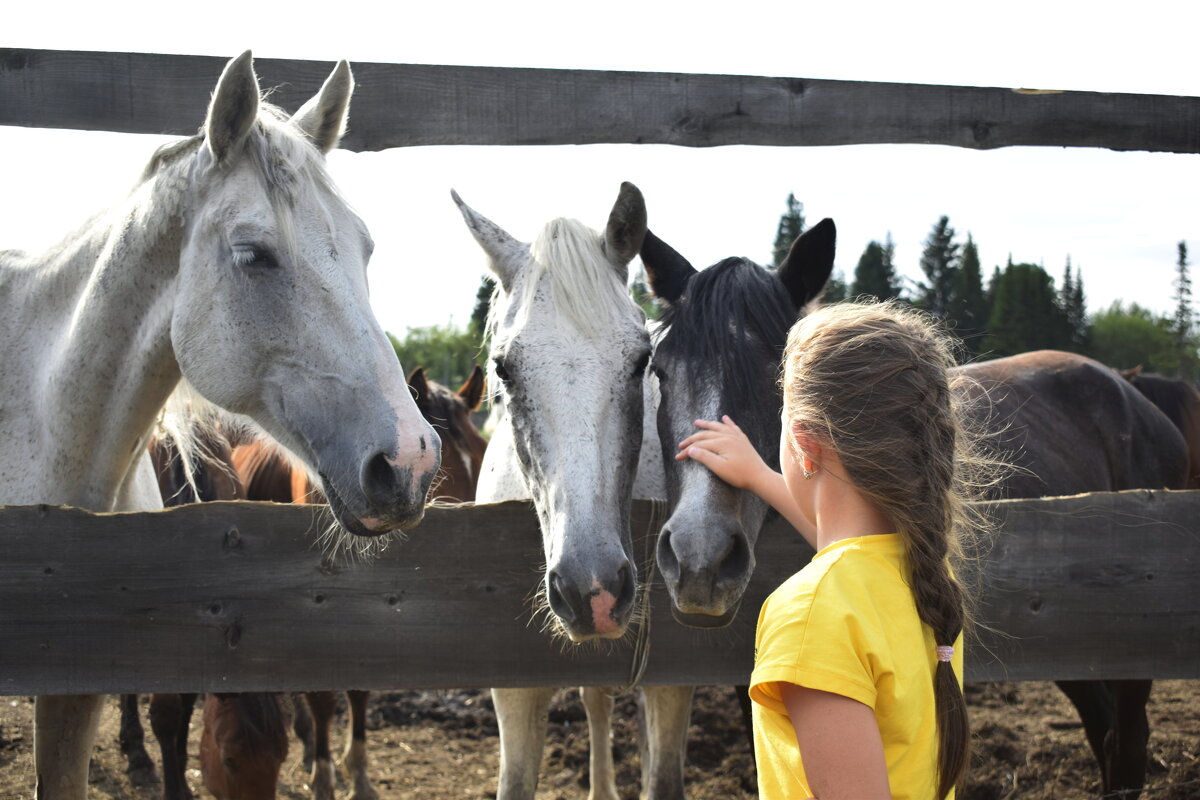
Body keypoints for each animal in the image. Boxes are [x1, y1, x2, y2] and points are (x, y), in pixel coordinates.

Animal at [228, 367, 482, 800]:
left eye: (481, 452)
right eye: (443, 462)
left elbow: (359, 690)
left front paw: (359, 775)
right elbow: (321, 698)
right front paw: (324, 777)